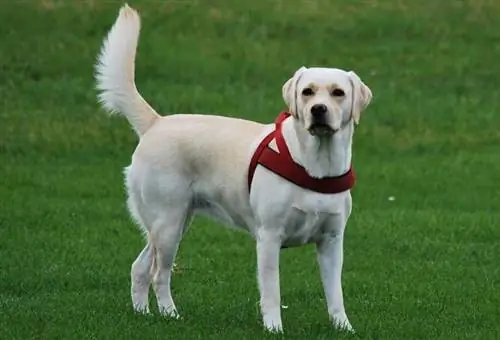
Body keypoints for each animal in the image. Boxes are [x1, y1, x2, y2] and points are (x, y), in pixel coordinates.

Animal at [96, 3, 372, 334]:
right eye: (307, 92)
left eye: (338, 93)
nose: (318, 110)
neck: (316, 165)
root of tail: (156, 122)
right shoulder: (269, 238)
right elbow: (272, 291)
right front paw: (274, 329)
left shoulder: (332, 241)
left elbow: (335, 294)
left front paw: (344, 328)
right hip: (168, 224)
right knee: (158, 274)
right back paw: (170, 314)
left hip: (173, 223)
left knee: (139, 267)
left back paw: (143, 314)